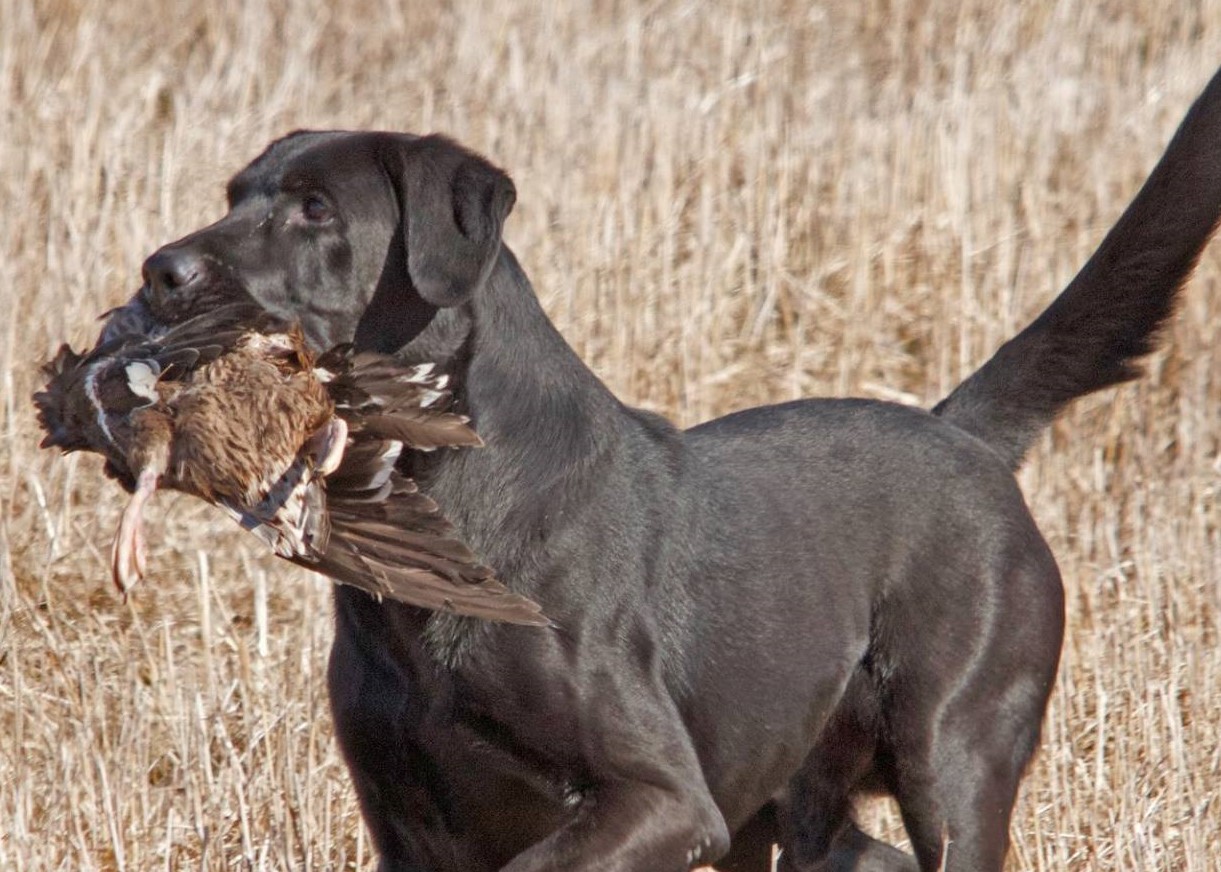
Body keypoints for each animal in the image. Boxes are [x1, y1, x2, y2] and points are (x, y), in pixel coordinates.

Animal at [133, 69, 1221, 869]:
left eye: (316, 209)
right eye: (233, 198)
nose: (159, 269)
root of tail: (964, 434)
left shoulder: (663, 796)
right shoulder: (407, 817)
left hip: (951, 754)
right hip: (796, 807)